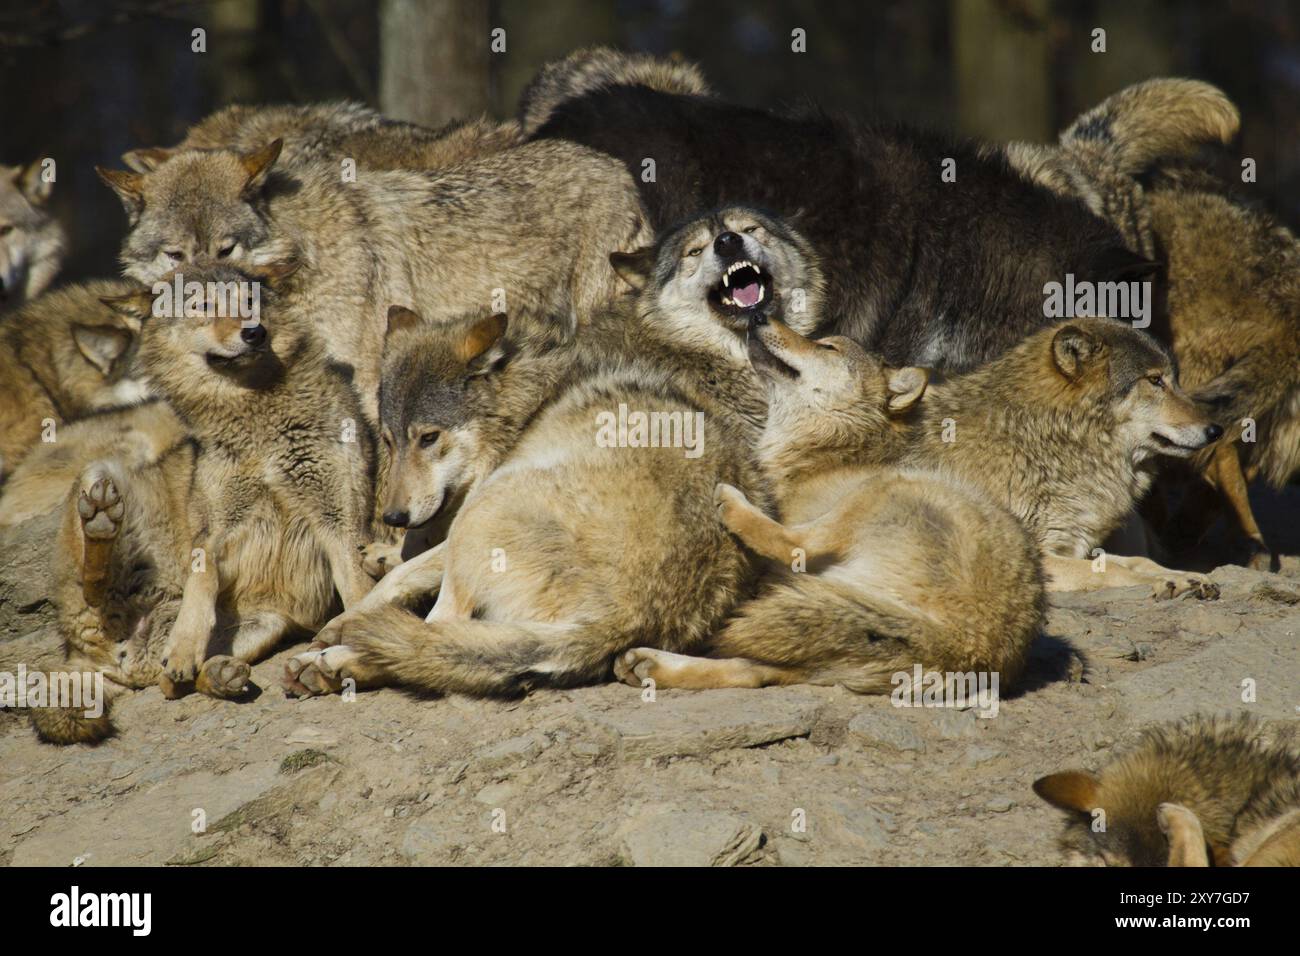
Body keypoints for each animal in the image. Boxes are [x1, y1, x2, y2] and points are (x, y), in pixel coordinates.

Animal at [101, 260, 378, 694]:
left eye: (250, 301)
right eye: (203, 306)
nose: (254, 332)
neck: (254, 415)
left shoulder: (340, 518)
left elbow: (358, 590)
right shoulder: (214, 527)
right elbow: (200, 578)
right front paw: (183, 647)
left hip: (268, 624)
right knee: (169, 682)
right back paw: (215, 674)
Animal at [613, 313, 1045, 693]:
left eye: (827, 346)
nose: (758, 318)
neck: (827, 448)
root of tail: (966, 643)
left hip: (883, 490)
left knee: (795, 545)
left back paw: (733, 503)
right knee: (751, 673)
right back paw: (649, 665)